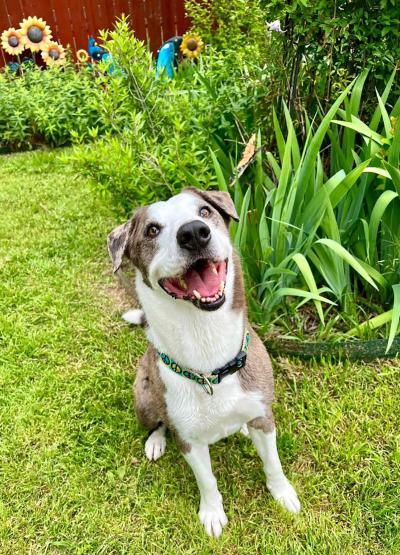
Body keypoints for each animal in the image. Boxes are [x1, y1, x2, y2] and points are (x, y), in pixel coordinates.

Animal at [107, 189, 300, 536]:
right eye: (152, 230)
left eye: (205, 211)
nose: (194, 233)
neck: (208, 350)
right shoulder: (189, 441)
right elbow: (207, 480)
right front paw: (212, 514)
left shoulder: (264, 417)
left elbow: (273, 463)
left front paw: (283, 494)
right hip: (143, 398)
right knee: (157, 423)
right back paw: (155, 442)